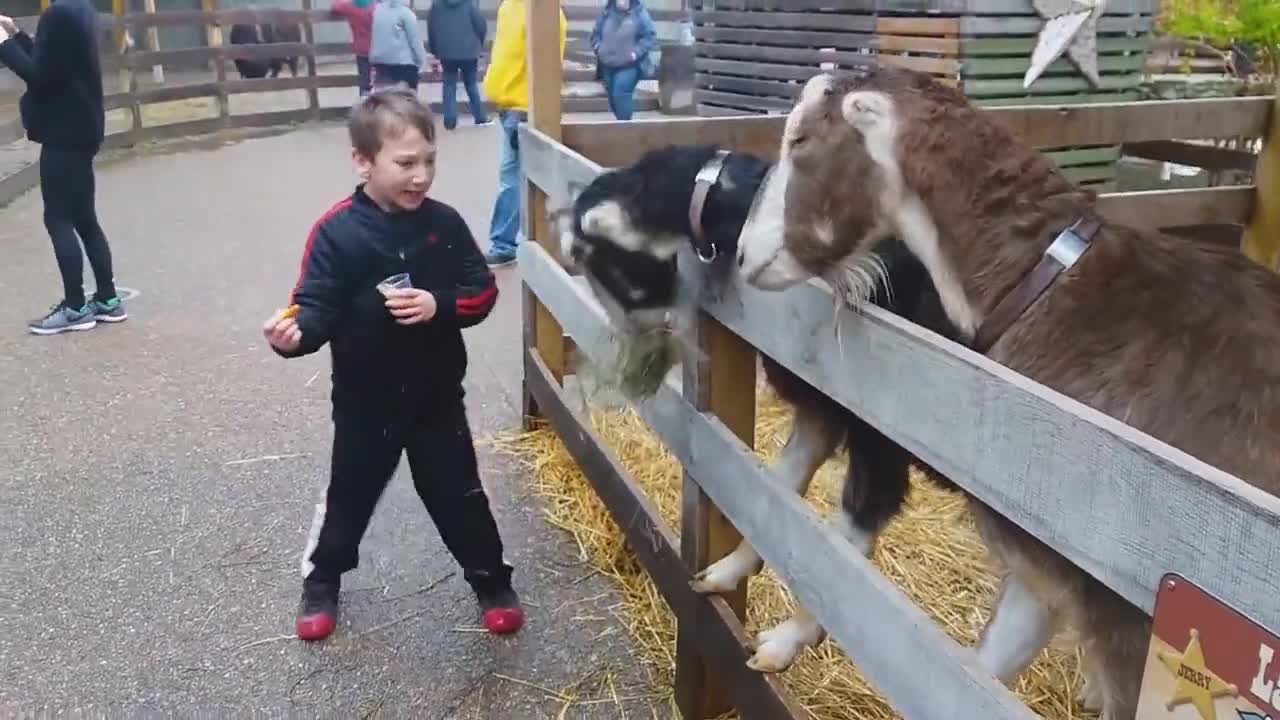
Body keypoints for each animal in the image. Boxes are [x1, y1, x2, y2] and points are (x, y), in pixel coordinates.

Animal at [552, 142, 962, 671]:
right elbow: (777, 490)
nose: (649, 352)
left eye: (619, 274)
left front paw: (779, 646)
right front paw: (722, 573)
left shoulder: (880, 430)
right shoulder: (822, 409)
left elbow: (852, 542)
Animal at [737, 63, 1280, 717]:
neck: (1048, 285)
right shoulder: (1045, 563)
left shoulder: (1135, 633)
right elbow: (970, 678)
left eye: (799, 141)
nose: (743, 254)